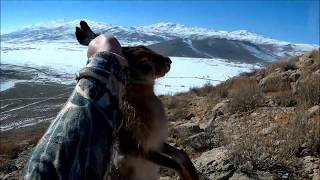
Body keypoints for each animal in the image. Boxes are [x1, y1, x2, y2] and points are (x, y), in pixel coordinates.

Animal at [76, 21, 199, 180]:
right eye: (144, 64)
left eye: (145, 46)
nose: (169, 61)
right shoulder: (140, 149)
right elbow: (174, 163)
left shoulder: (156, 143)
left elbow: (181, 154)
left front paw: (193, 173)